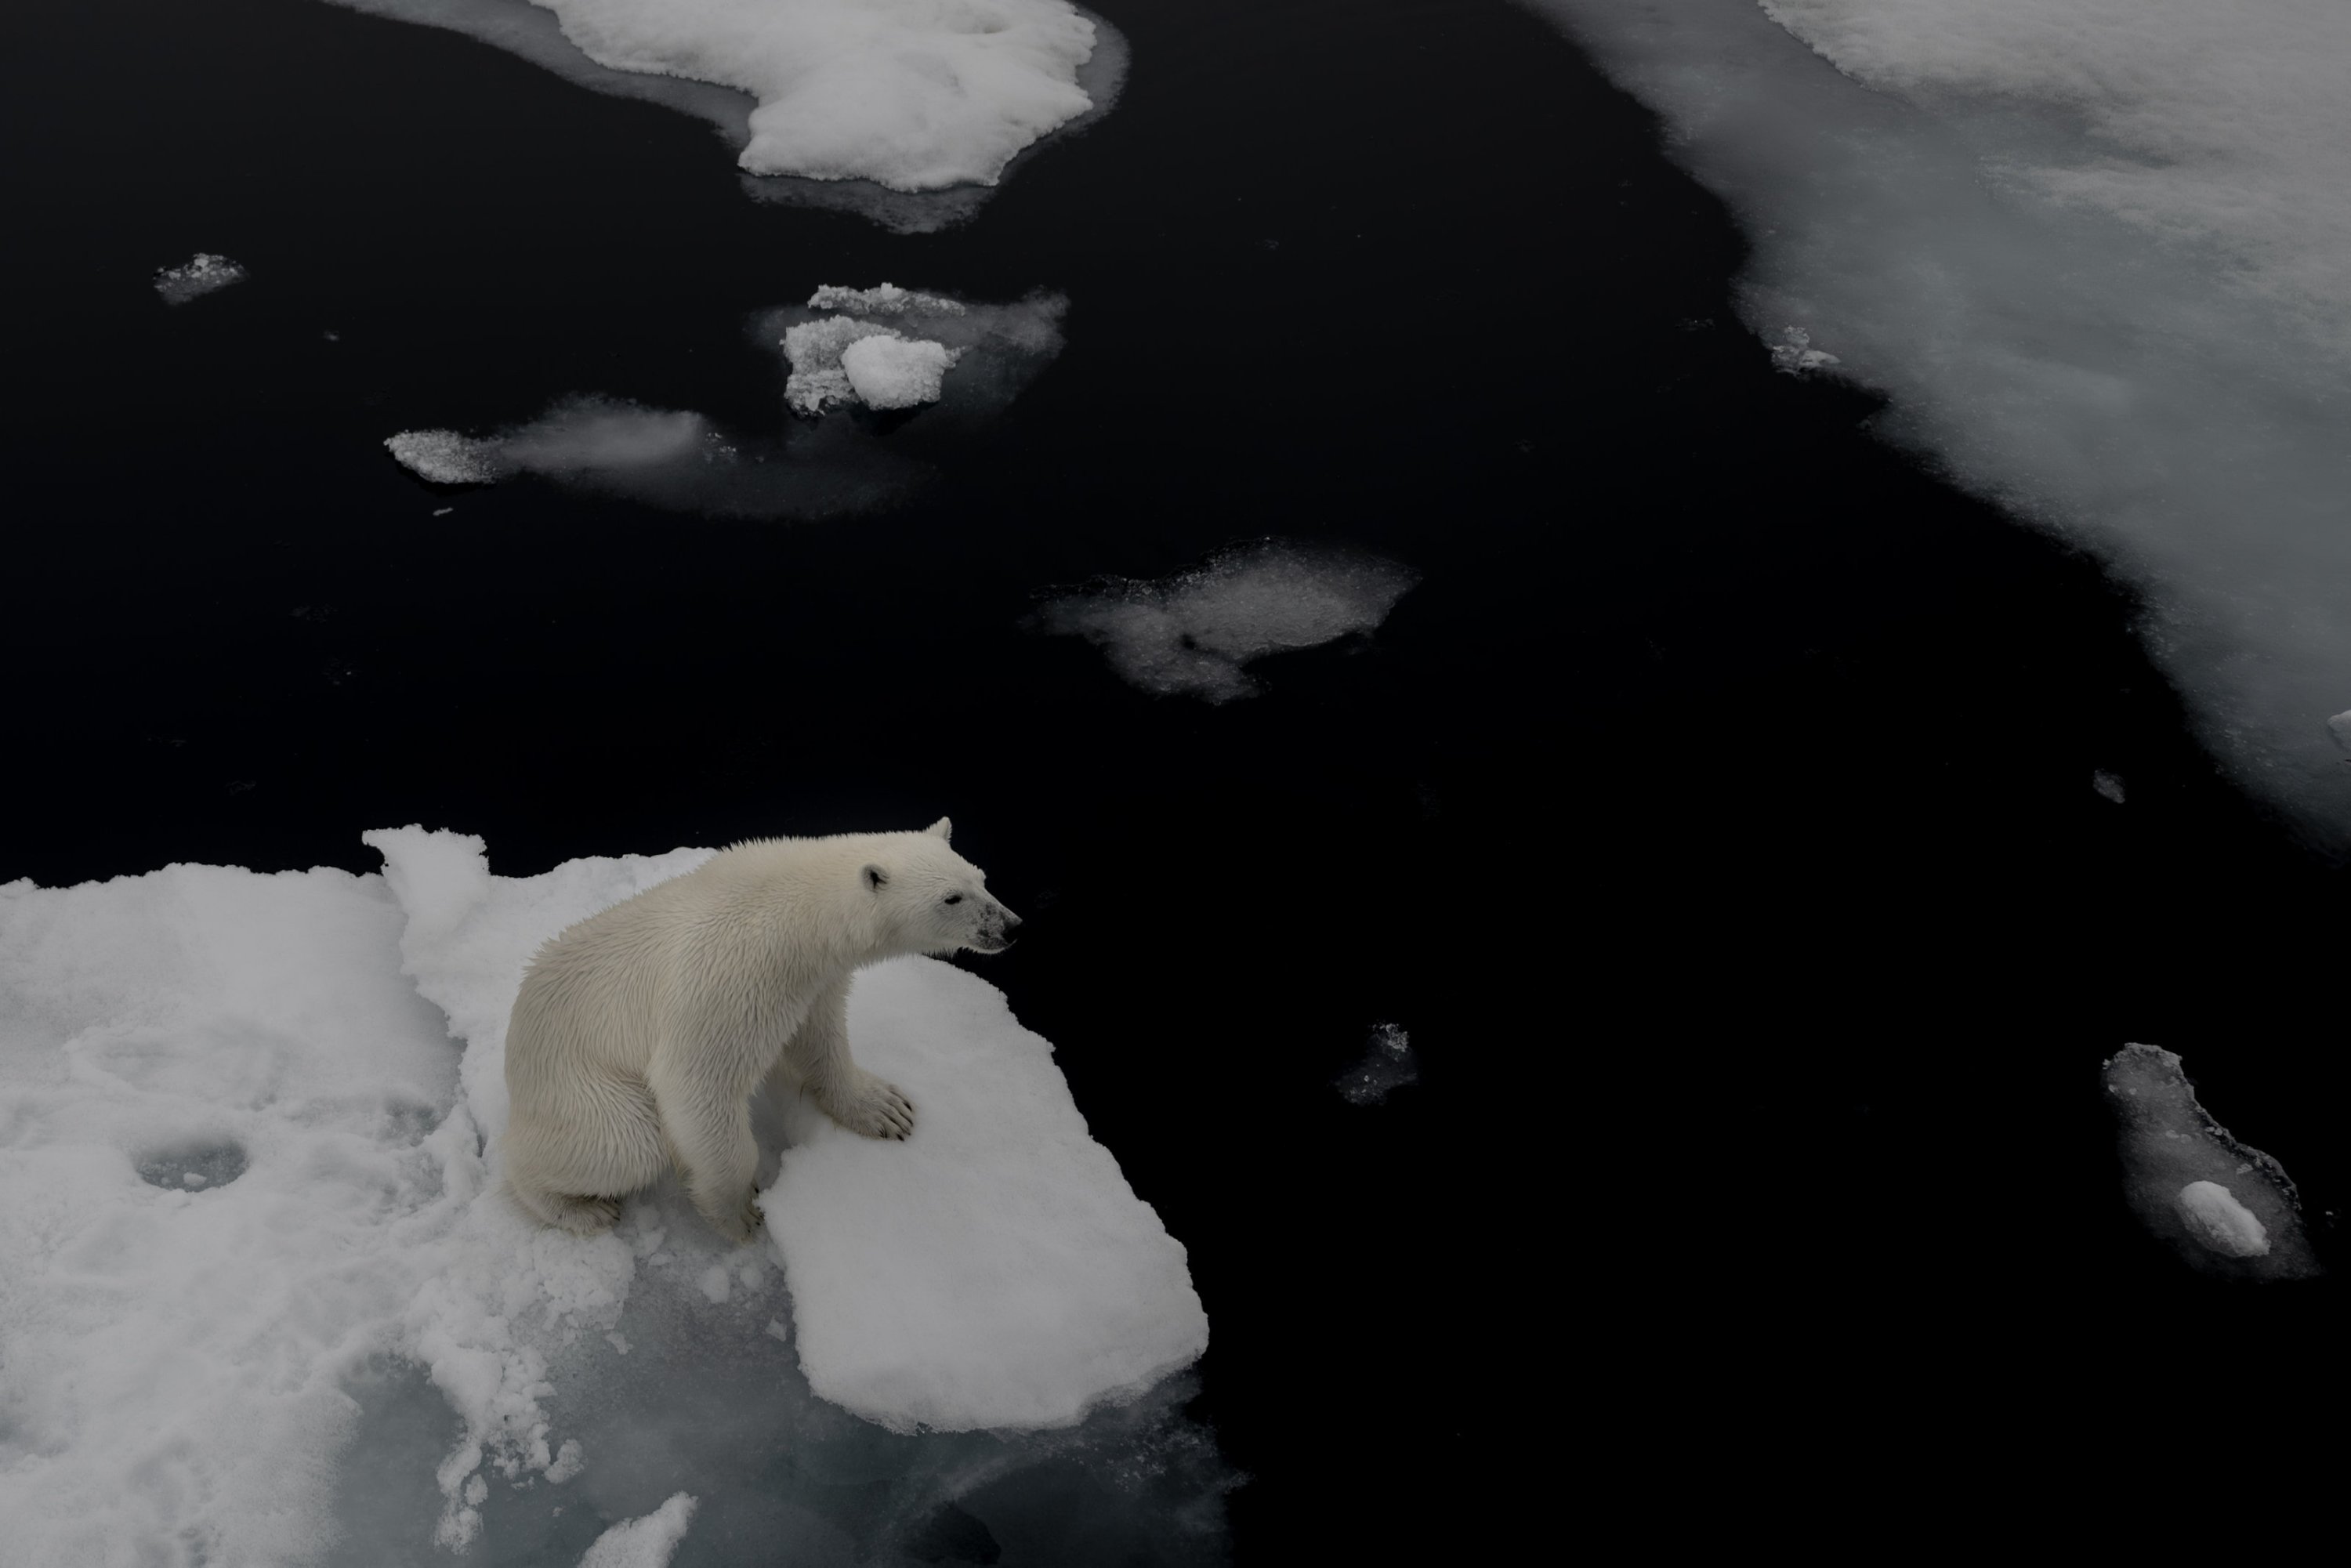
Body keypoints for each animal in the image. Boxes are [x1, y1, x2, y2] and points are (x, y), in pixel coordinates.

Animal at [505, 827, 1020, 1241]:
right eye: (951, 898)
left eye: (981, 877)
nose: (1011, 927)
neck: (797, 914)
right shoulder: (729, 978)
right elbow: (696, 1086)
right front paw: (740, 1216)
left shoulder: (812, 979)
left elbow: (821, 1039)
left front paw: (884, 1108)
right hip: (578, 1088)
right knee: (625, 1141)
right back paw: (580, 1212)